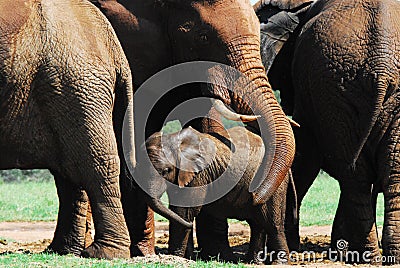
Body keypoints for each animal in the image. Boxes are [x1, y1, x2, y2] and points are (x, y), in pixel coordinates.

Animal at [142, 126, 292, 264]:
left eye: (166, 170)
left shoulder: (198, 174)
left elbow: (184, 212)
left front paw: (176, 258)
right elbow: (179, 211)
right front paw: (186, 257)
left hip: (273, 183)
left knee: (271, 222)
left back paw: (279, 263)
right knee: (257, 223)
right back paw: (253, 262)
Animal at [256, 0, 400, 264]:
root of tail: (382, 65)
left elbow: (304, 154)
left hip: (334, 84)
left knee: (365, 174)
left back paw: (372, 256)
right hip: (336, 88)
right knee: (366, 173)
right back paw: (378, 257)